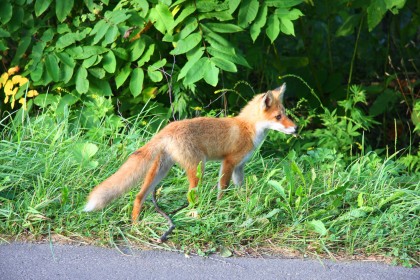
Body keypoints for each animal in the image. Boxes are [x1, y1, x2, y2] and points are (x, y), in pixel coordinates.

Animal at [83, 83, 296, 221]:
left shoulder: (239, 167)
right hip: (197, 168)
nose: (296, 128)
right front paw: (221, 207)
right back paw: (194, 214)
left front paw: (243, 204)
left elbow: (240, 189)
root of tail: (167, 129)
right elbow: (223, 189)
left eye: (286, 114)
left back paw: (136, 224)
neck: (248, 129)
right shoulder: (228, 162)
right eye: (278, 117)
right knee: (189, 196)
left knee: (138, 196)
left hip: (161, 170)